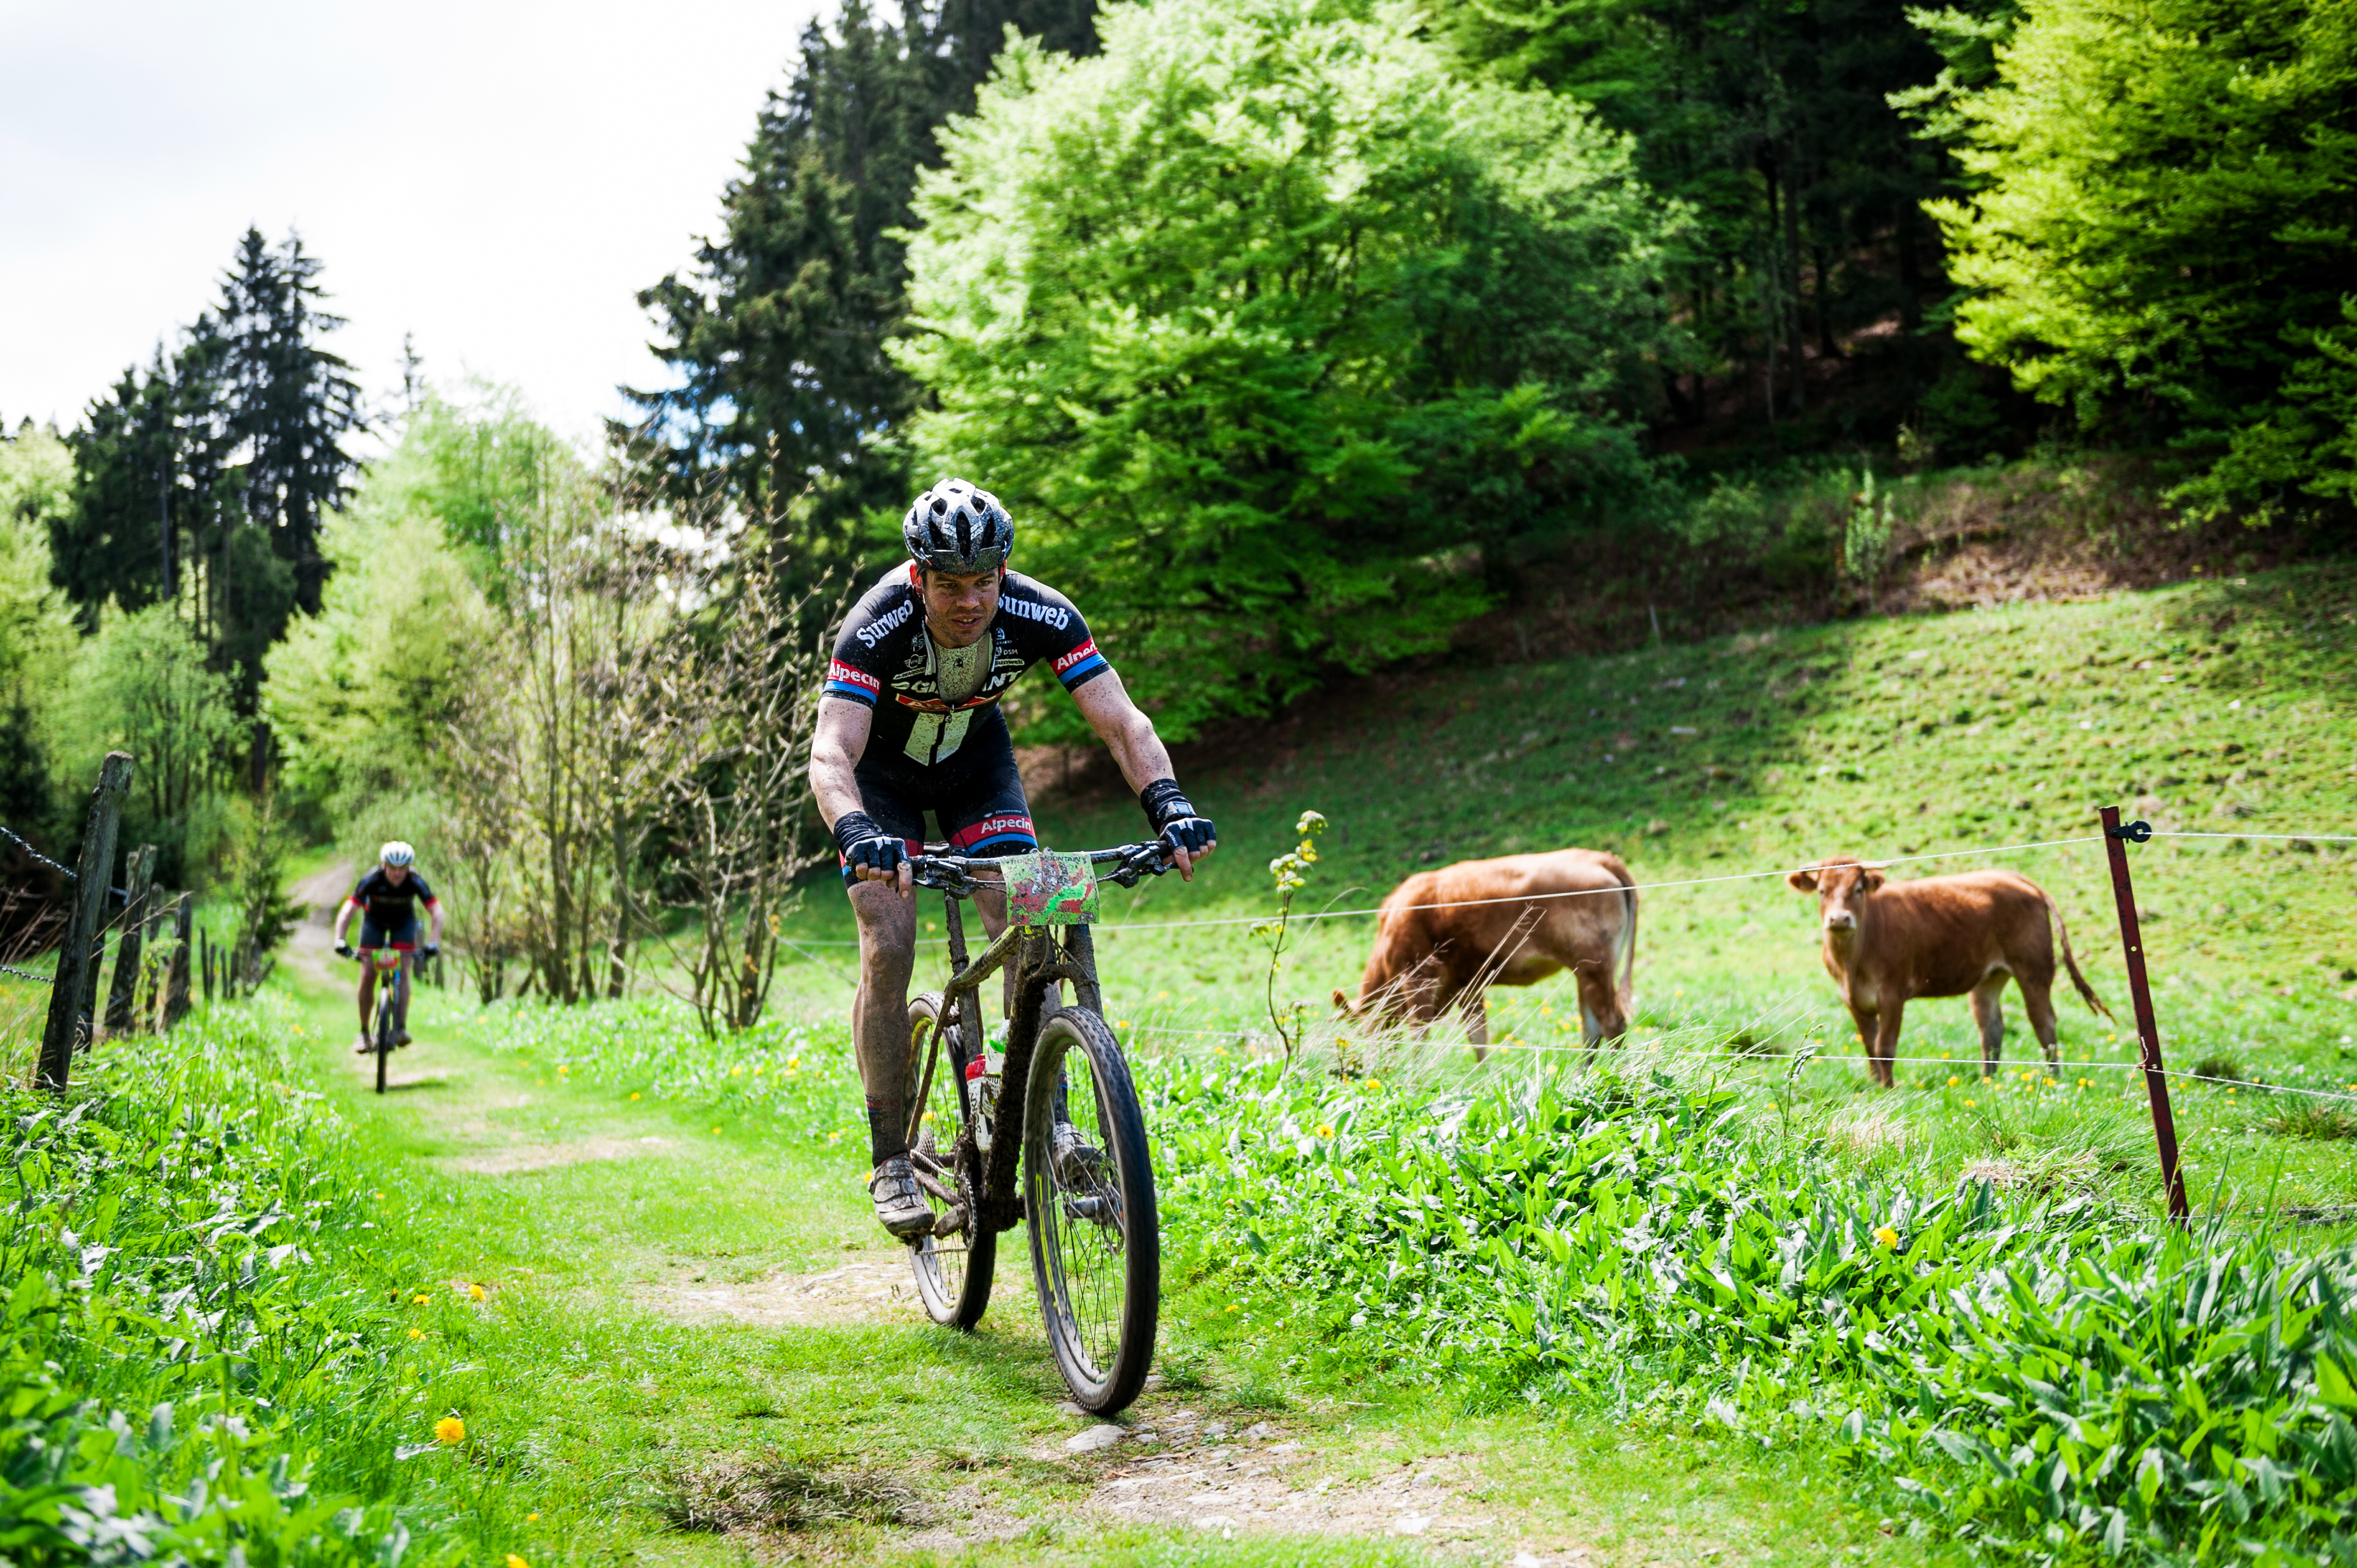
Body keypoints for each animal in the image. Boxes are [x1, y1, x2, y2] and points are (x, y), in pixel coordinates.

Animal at [1329, 844, 1640, 1051]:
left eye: (1364, 1034)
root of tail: (1600, 858)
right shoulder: (1469, 985)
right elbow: (1478, 1039)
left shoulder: (1418, 981)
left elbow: (1420, 1039)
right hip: (1583, 971)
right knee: (1592, 1031)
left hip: (1594, 967)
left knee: (1612, 1025)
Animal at [1782, 858, 2121, 1089]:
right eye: (1822, 890)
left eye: (1858, 889)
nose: (1840, 919)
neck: (1852, 963)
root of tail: (2014, 878)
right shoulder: (1853, 999)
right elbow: (1870, 1047)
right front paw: (1877, 1086)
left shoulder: (1893, 993)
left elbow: (1885, 1046)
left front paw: (1888, 1090)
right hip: (1989, 977)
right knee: (1992, 1026)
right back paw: (1988, 1081)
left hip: (2033, 970)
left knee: (2044, 1024)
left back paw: (2054, 1077)